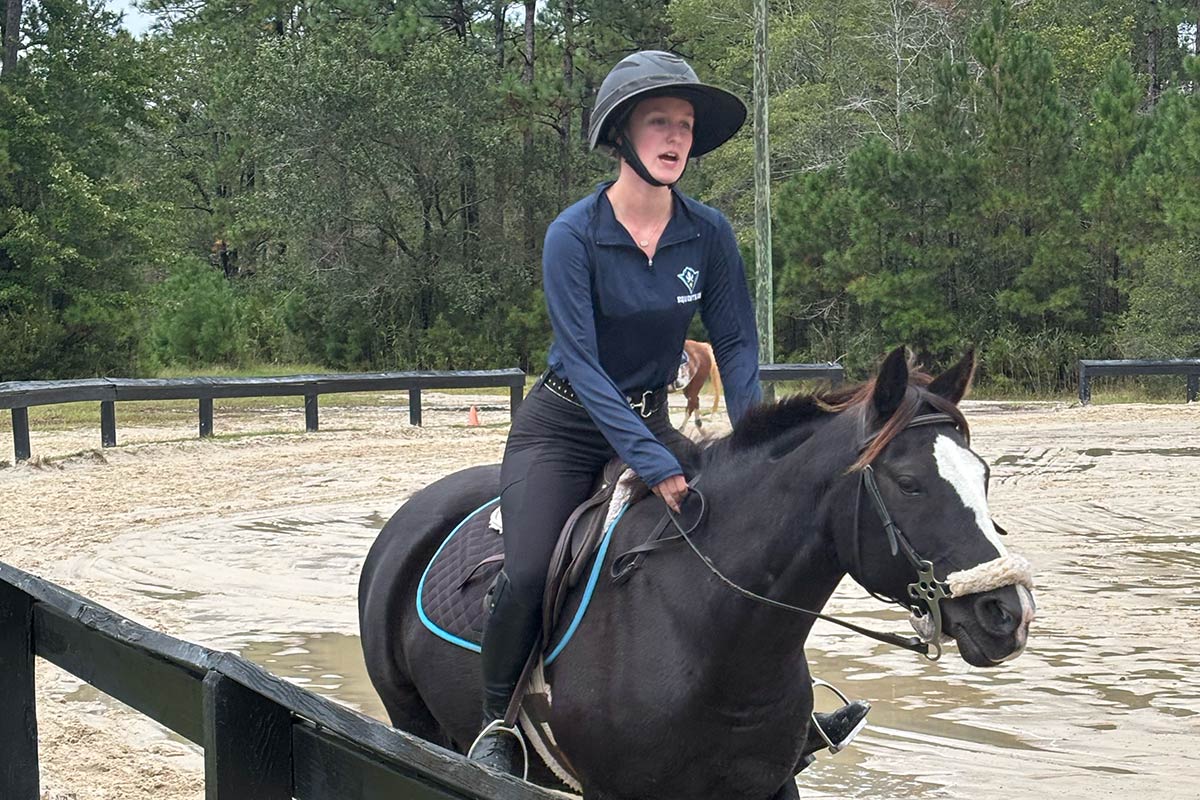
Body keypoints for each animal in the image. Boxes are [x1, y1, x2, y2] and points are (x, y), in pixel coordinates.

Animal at [358, 347, 1036, 800]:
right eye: (910, 483)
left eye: (983, 475)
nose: (1009, 613)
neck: (709, 634)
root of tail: (412, 512)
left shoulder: (765, 786)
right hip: (414, 722)